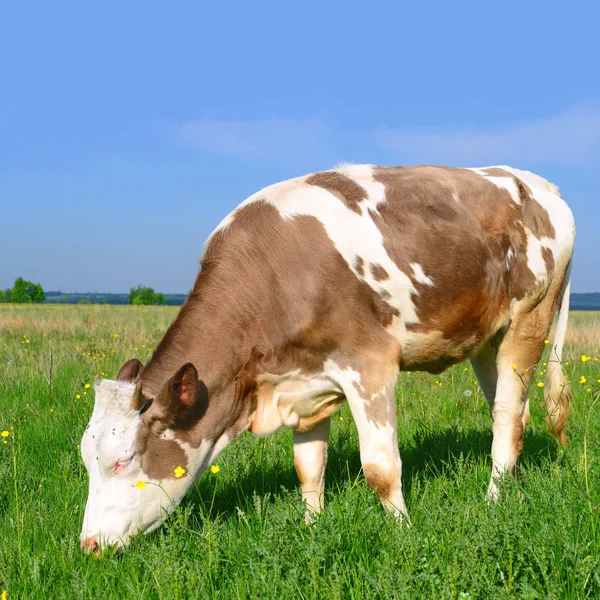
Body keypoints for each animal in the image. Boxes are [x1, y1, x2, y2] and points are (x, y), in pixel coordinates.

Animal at [79, 164, 576, 552]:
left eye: (123, 460)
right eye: (86, 457)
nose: (88, 545)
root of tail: (541, 184)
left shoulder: (369, 366)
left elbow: (380, 469)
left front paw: (402, 533)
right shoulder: (302, 383)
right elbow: (308, 467)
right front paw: (311, 528)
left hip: (529, 321)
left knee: (508, 416)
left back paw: (492, 502)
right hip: (488, 340)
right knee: (513, 414)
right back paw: (512, 494)